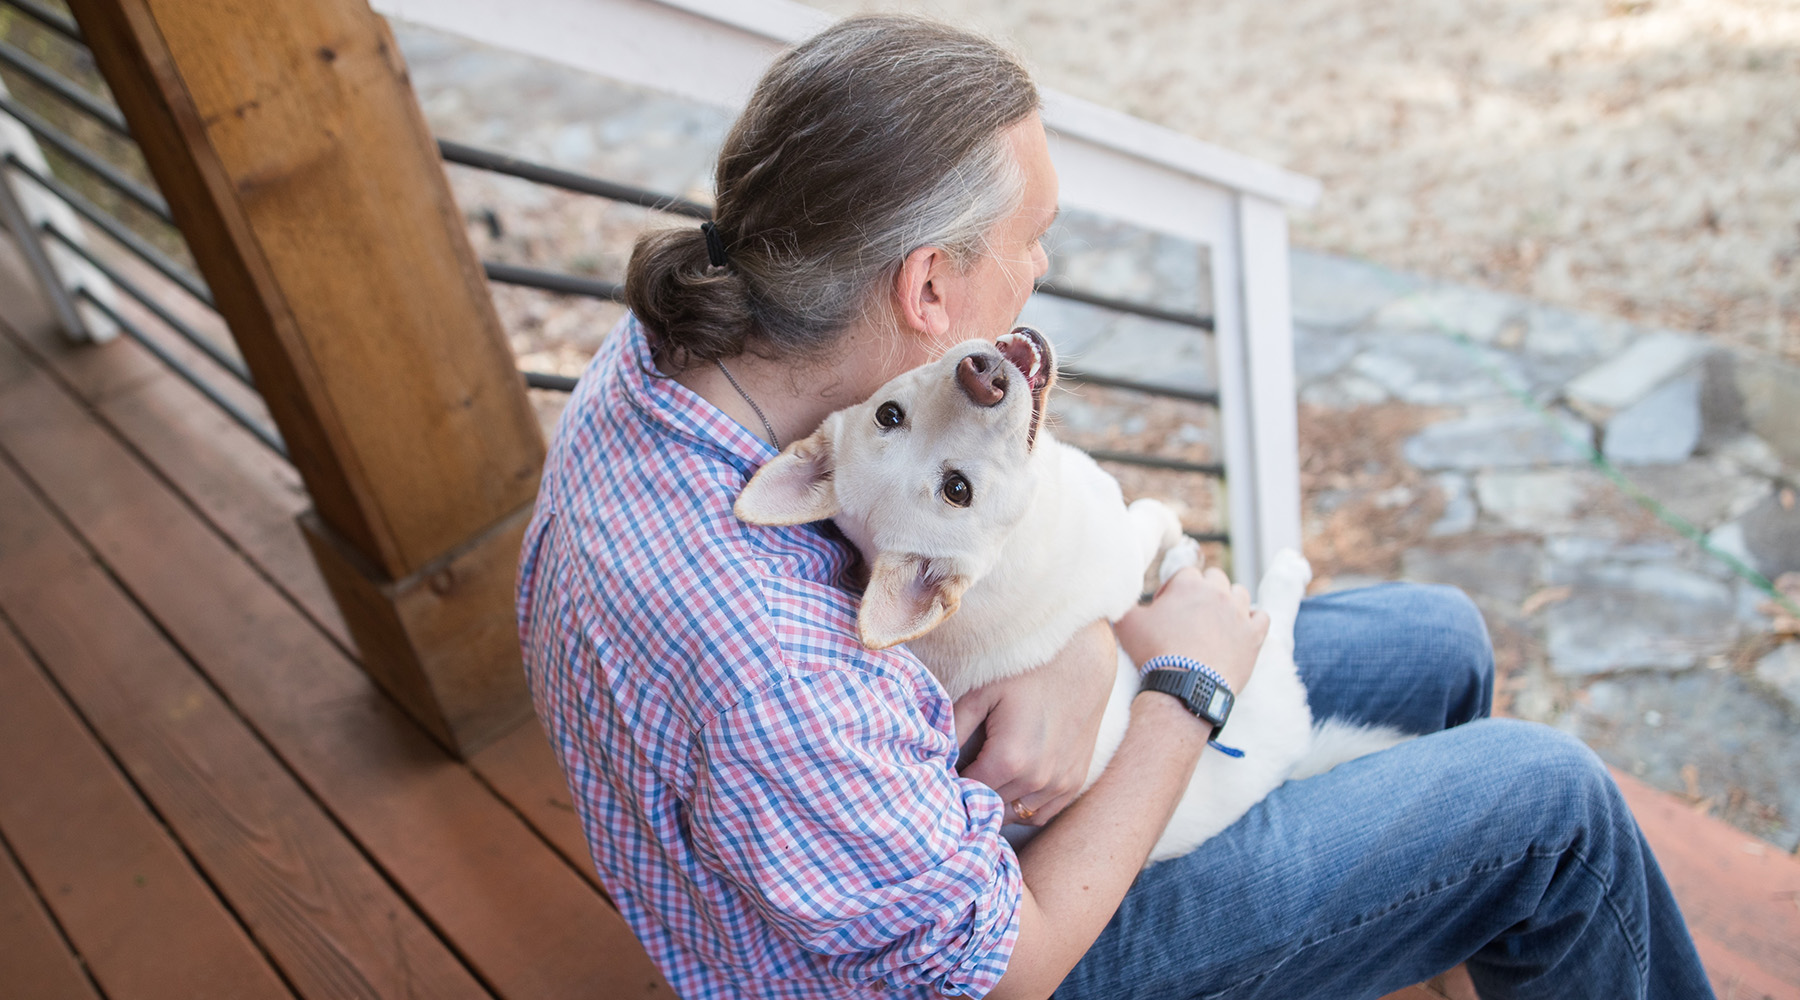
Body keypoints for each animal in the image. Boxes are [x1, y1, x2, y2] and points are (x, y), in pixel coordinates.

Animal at [734, 332, 1404, 863]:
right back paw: (1274, 573)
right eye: (958, 491)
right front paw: (1175, 537)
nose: (980, 376)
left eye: (889, 414)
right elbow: (1152, 513)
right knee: (1277, 631)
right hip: (1273, 692)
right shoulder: (1122, 545)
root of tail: (1290, 766)